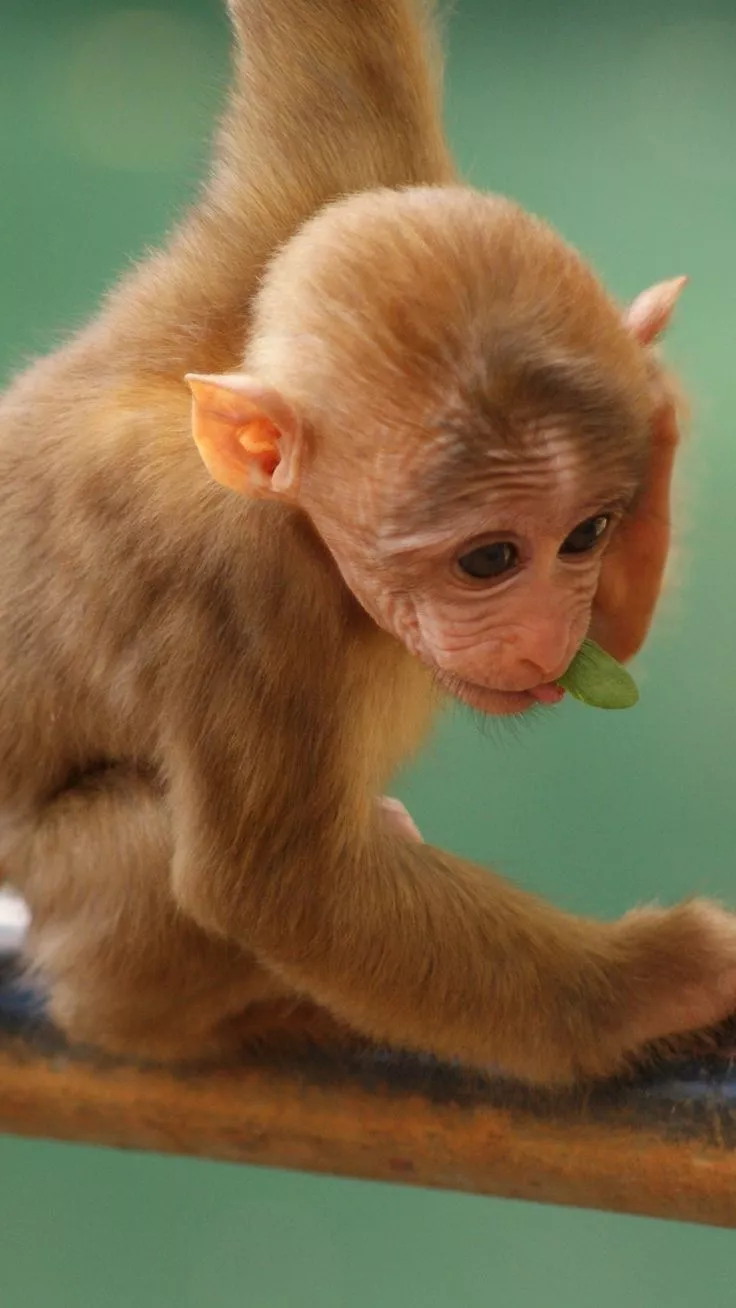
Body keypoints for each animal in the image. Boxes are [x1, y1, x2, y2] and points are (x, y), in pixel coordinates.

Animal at [0, 0, 733, 1088]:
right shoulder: (241, 598)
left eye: (587, 535)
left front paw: (656, 394)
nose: (544, 633)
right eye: (488, 559)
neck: (304, 523)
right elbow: (282, 887)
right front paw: (662, 981)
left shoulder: (319, 199)